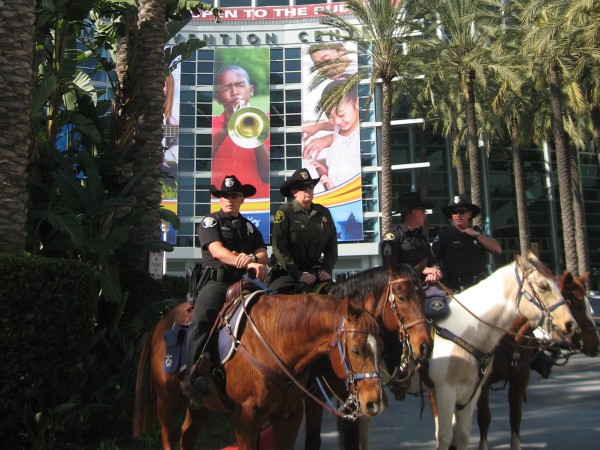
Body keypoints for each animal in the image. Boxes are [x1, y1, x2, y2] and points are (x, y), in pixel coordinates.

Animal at [132, 288, 384, 450]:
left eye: (381, 346)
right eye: (356, 350)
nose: (374, 402)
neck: (276, 341)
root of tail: (161, 321)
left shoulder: (290, 413)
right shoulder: (246, 417)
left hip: (200, 402)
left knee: (188, 435)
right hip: (165, 397)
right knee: (169, 437)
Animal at [404, 253, 576, 450]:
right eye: (543, 286)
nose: (570, 325)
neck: (468, 327)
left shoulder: (473, 391)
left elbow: (464, 434)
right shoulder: (446, 390)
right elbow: (448, 434)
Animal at [476, 270, 596, 450]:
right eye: (577, 304)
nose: (596, 342)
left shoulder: (520, 379)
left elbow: (515, 417)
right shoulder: (481, 384)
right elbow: (484, 419)